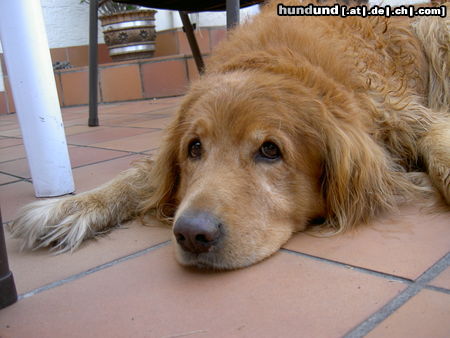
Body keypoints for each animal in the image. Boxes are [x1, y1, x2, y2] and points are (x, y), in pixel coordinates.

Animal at [8, 0, 450, 270]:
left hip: (433, 26)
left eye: (270, 150)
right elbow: (138, 178)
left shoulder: (400, 111)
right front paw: (70, 206)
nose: (191, 234)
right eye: (194, 148)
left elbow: (435, 139)